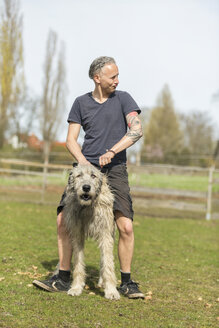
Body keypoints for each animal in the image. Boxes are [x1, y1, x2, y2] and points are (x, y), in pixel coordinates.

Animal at [62, 164, 120, 300]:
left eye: (93, 176)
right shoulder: (77, 234)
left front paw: (111, 290)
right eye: (79, 175)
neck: (87, 207)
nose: (86, 187)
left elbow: (108, 262)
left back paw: (103, 281)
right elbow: (78, 261)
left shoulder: (105, 233)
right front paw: (76, 287)